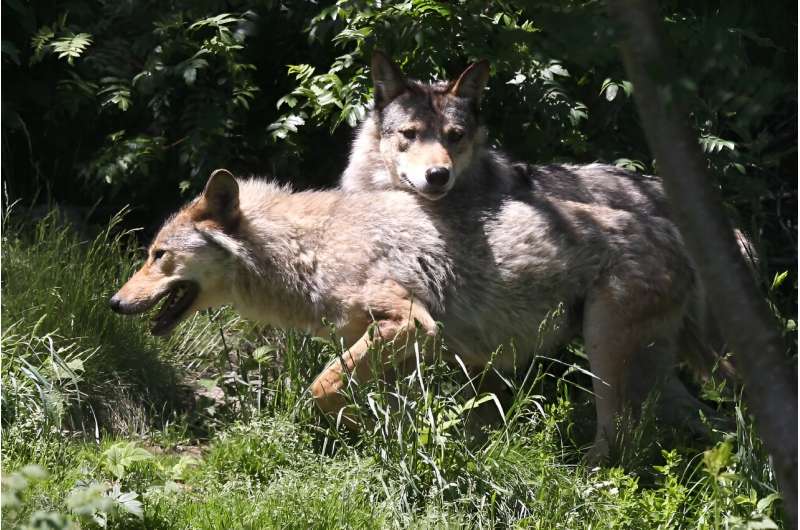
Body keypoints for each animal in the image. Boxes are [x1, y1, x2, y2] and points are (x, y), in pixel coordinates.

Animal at [109, 168, 708, 458]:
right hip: (651, 375)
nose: (113, 304)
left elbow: (321, 390)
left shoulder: (412, 326)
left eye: (158, 255)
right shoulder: (410, 347)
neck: (311, 248)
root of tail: (678, 237)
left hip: (605, 361)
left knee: (621, 440)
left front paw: (363, 434)